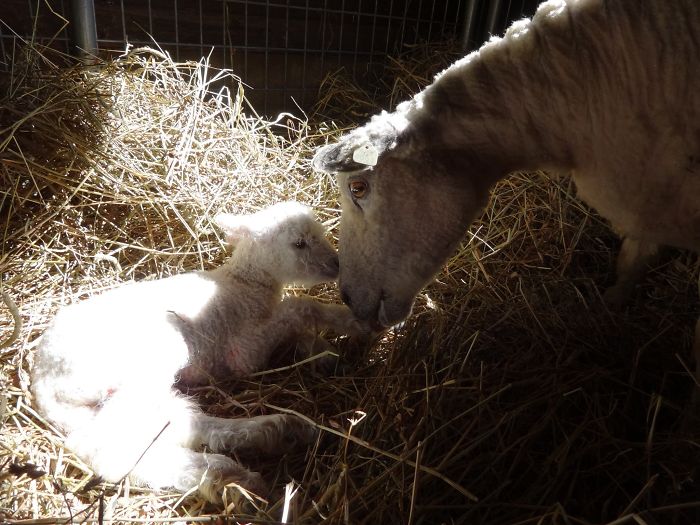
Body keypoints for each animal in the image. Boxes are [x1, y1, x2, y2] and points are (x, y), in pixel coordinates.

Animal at [31, 201, 363, 502]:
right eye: (299, 243)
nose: (336, 265)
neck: (245, 285)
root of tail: (41, 383)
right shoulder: (244, 350)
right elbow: (300, 308)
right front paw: (348, 320)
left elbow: (298, 327)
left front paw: (325, 353)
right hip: (142, 359)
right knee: (111, 449)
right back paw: (228, 477)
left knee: (176, 423)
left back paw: (277, 433)